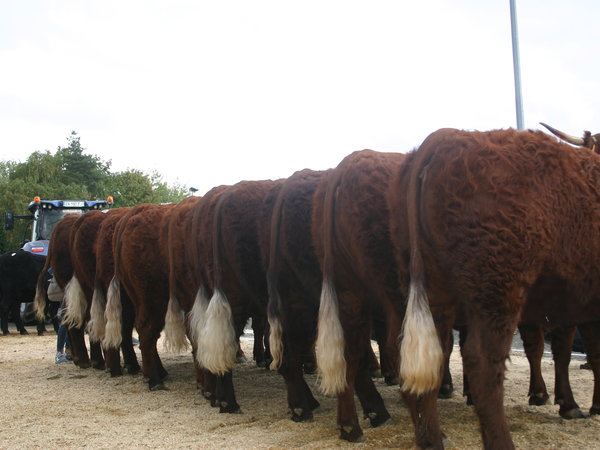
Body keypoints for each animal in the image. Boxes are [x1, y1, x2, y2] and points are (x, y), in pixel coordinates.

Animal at [312, 150, 406, 440]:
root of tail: (346, 165)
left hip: (350, 293)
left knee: (350, 354)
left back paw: (350, 426)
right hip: (393, 288)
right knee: (396, 345)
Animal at [396, 127, 600, 450]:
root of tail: (446, 138)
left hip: (434, 293)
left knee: (430, 359)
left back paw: (432, 440)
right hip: (498, 290)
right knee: (482, 366)